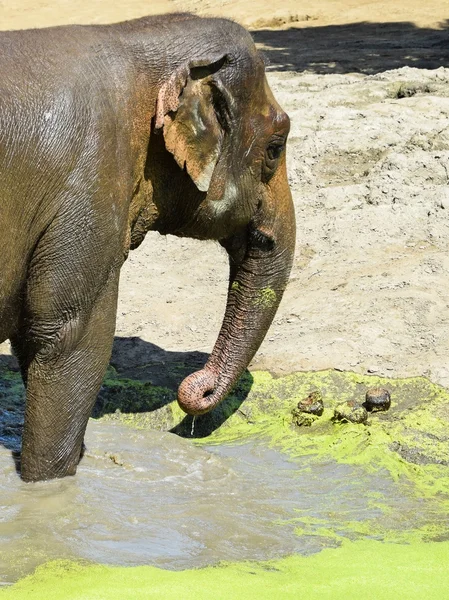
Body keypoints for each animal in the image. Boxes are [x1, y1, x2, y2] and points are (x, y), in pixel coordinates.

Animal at [0, 12, 296, 482]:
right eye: (274, 148)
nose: (194, 388)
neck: (131, 36)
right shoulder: (89, 189)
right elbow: (70, 340)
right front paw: (49, 486)